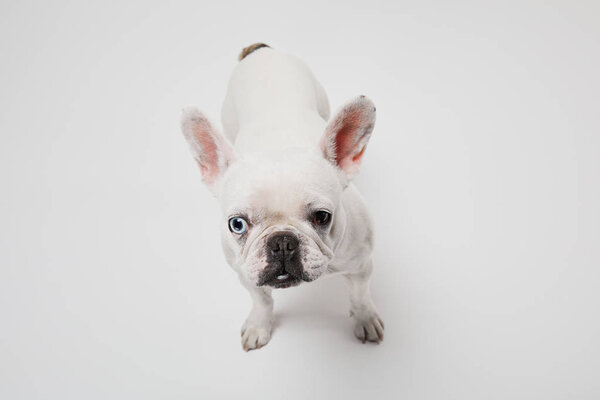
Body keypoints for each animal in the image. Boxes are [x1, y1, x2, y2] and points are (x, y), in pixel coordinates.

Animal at [180, 43, 384, 350]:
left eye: (322, 217)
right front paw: (259, 325)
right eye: (236, 224)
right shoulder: (245, 272)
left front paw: (365, 318)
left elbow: (360, 295)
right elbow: (261, 300)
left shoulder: (361, 266)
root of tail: (261, 49)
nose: (282, 242)